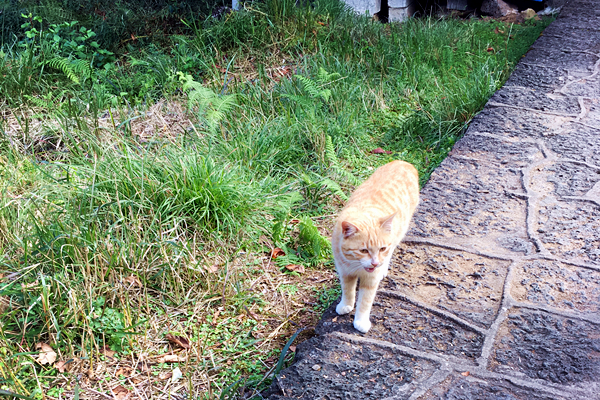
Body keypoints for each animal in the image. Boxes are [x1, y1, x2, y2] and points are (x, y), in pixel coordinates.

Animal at [330, 161, 420, 332]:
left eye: (382, 248)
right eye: (363, 250)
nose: (375, 263)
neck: (356, 266)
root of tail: (403, 162)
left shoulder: (371, 280)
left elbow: (365, 302)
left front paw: (361, 321)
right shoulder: (344, 272)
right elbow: (347, 291)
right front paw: (346, 305)